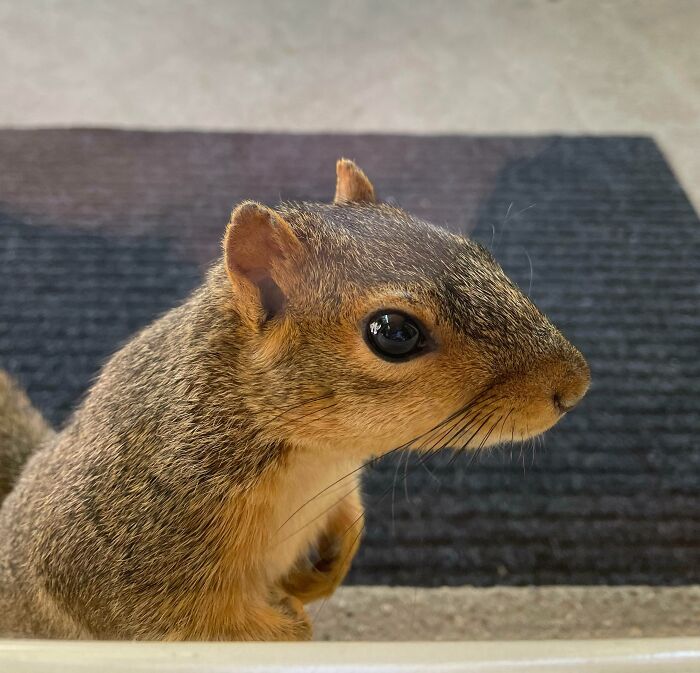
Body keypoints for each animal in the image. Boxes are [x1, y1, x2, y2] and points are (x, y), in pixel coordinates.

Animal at [0, 159, 590, 640]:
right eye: (393, 333)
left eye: (478, 253)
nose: (575, 384)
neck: (319, 455)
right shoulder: (126, 548)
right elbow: (184, 621)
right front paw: (291, 625)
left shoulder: (341, 480)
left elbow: (348, 518)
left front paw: (319, 577)